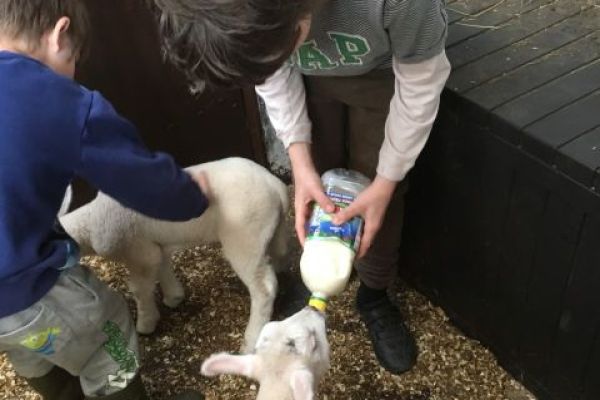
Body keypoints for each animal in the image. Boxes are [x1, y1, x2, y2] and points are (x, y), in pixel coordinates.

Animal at [59, 158, 290, 352]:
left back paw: (251, 340)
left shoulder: (138, 252)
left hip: (244, 235)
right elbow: (163, 267)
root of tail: (275, 186)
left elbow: (139, 290)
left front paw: (145, 323)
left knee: (264, 287)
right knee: (278, 256)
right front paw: (174, 297)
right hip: (269, 232)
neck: (90, 223)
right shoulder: (154, 248)